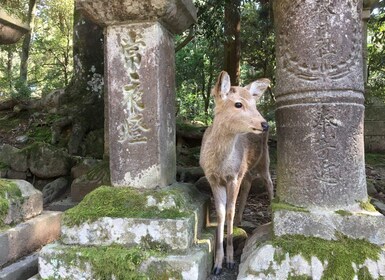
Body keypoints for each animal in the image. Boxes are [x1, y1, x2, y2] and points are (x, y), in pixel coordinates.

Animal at [200, 71, 272, 274]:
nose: (265, 124)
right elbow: (221, 213)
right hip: (246, 169)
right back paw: (241, 220)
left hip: (264, 160)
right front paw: (217, 264)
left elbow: (229, 211)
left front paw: (230, 260)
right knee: (249, 183)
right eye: (238, 104)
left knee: (269, 183)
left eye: (255, 104)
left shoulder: (233, 176)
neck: (221, 165)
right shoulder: (213, 179)